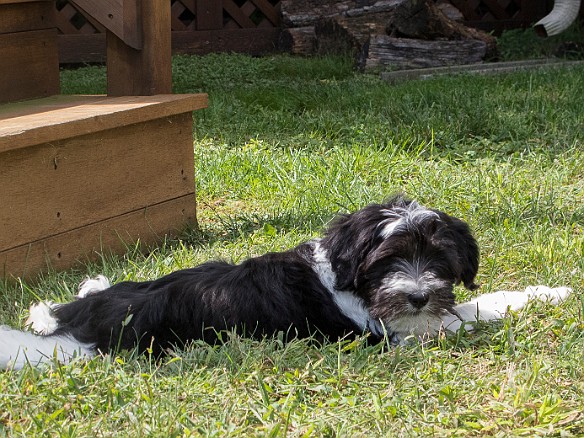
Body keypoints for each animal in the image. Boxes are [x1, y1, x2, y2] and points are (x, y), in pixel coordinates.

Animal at [0, 195, 572, 370]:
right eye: (387, 261)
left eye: (440, 258)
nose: (417, 294)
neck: (348, 276)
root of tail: (76, 322)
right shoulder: (396, 332)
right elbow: (474, 311)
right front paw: (536, 299)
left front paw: (549, 292)